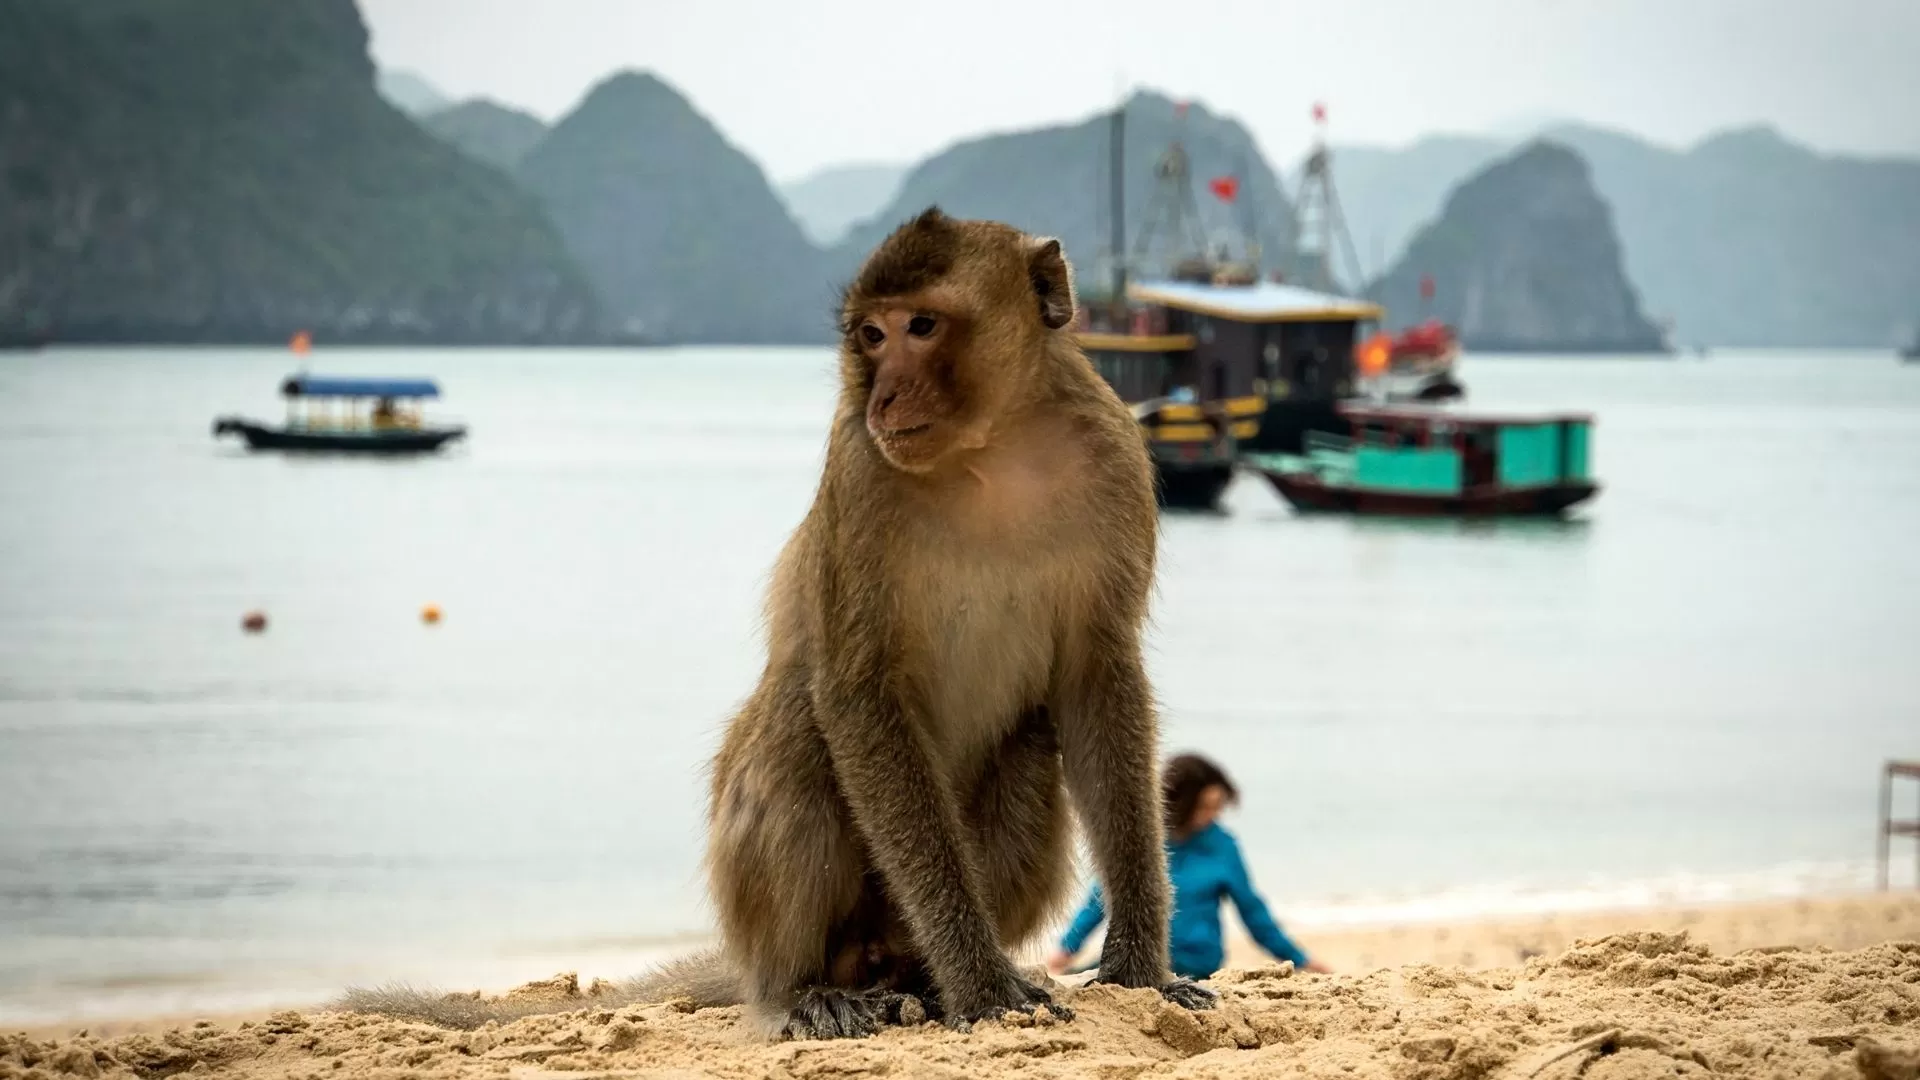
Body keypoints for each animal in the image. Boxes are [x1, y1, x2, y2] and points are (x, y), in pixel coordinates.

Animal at [336, 207, 1215, 1038]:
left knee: (1026, 746)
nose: (883, 394)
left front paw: (1139, 966)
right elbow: (856, 692)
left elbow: (1097, 678)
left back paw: (919, 979)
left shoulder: (1115, 457)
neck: (991, 447)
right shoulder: (859, 469)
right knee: (799, 720)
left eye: (921, 326)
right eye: (871, 335)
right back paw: (807, 991)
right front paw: (980, 984)